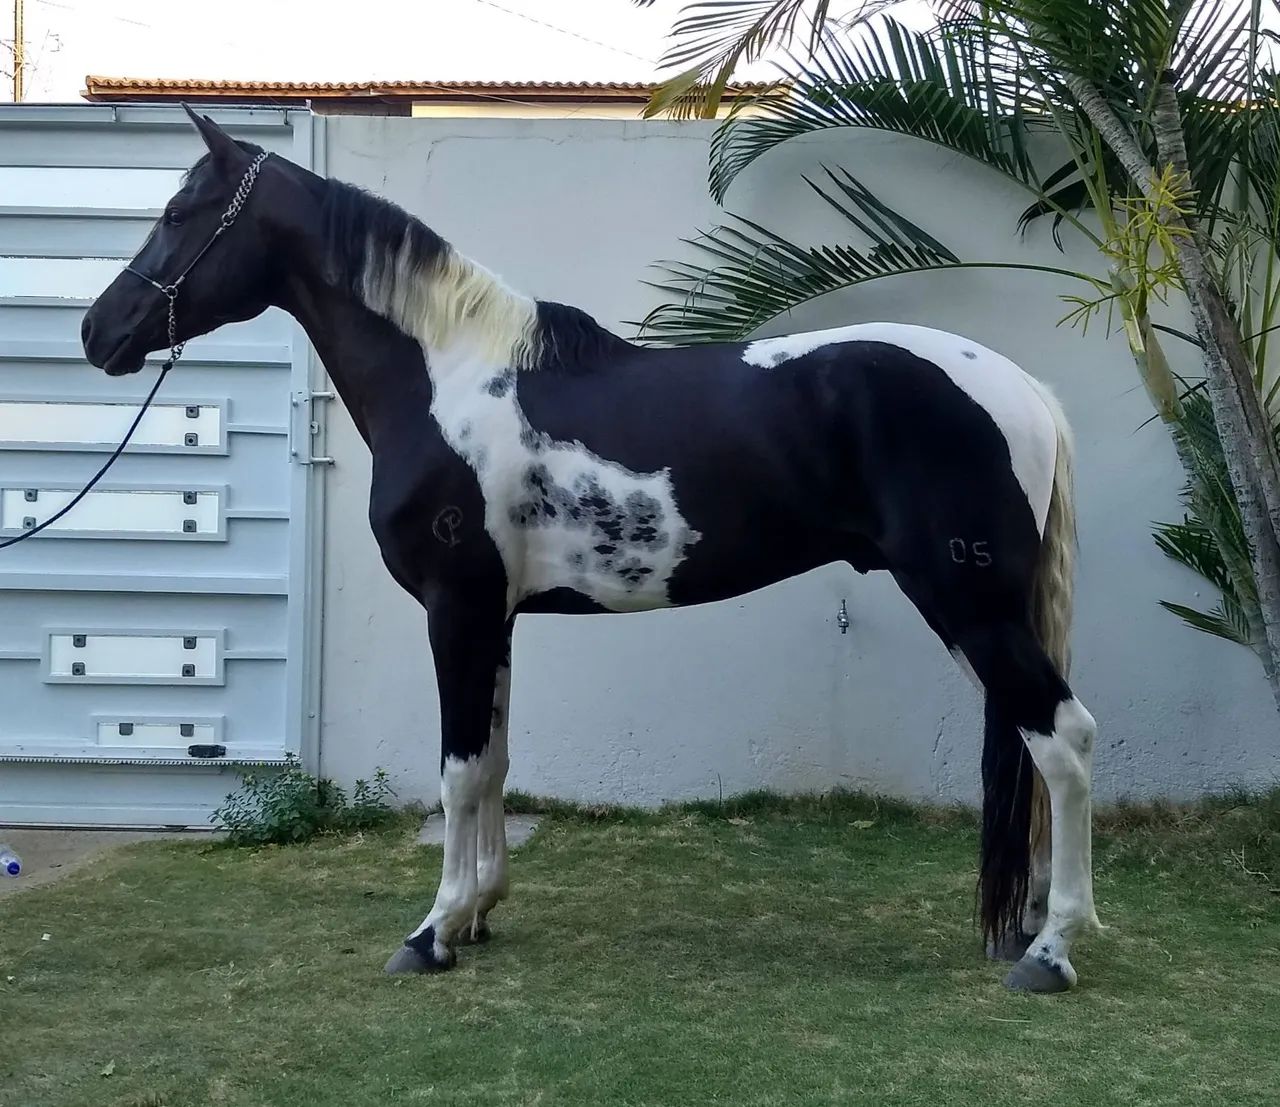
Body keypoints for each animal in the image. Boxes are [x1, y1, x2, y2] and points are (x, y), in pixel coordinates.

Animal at [80, 107, 1100, 994]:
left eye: (179, 213)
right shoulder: (493, 617)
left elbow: (456, 770)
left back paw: (1051, 952)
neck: (447, 380)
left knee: (1064, 739)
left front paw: (430, 932)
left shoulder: (456, 609)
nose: (98, 331)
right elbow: (492, 761)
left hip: (969, 604)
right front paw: (477, 913)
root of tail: (1024, 390)